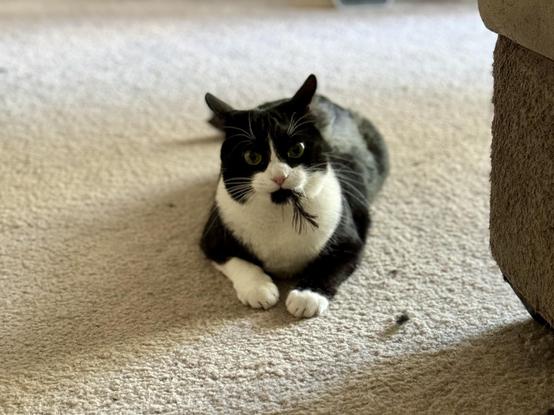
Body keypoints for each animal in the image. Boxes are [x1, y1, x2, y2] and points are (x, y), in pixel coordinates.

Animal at [199, 75, 388, 320]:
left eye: (297, 149)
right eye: (252, 156)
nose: (280, 176)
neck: (280, 211)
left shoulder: (350, 241)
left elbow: (329, 266)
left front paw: (307, 296)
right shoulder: (212, 239)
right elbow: (237, 261)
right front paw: (259, 289)